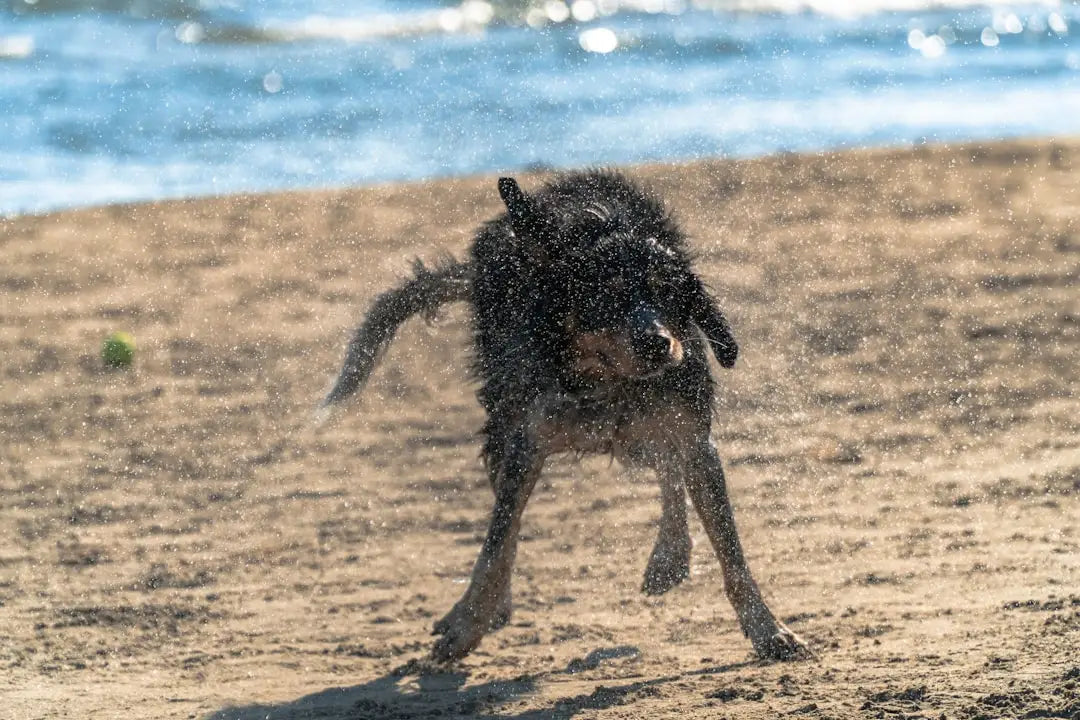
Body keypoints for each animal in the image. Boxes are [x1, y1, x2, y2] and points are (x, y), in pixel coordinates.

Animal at [319, 170, 812, 664]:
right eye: (607, 295)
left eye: (670, 293)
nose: (657, 343)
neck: (607, 380)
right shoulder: (527, 439)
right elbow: (496, 544)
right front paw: (466, 625)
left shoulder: (691, 433)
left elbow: (731, 549)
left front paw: (769, 629)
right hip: (504, 420)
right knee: (509, 518)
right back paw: (497, 604)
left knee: (666, 467)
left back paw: (669, 556)